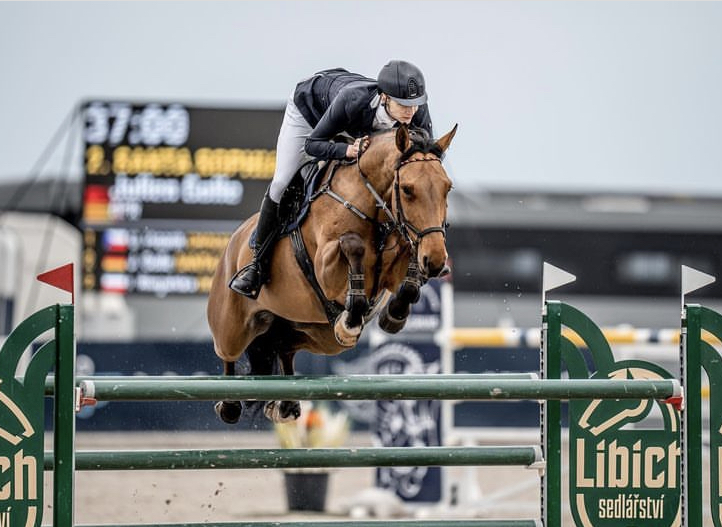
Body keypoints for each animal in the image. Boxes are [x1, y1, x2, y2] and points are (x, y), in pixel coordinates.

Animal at [207, 124, 456, 424]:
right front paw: (351, 319)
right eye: (407, 190)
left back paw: (285, 404)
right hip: (232, 327)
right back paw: (230, 403)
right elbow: (353, 246)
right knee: (228, 353)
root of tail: (233, 242)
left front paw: (393, 315)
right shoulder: (326, 269)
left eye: (447, 188)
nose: (436, 260)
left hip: (315, 334)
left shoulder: (396, 264)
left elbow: (408, 274)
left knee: (283, 347)